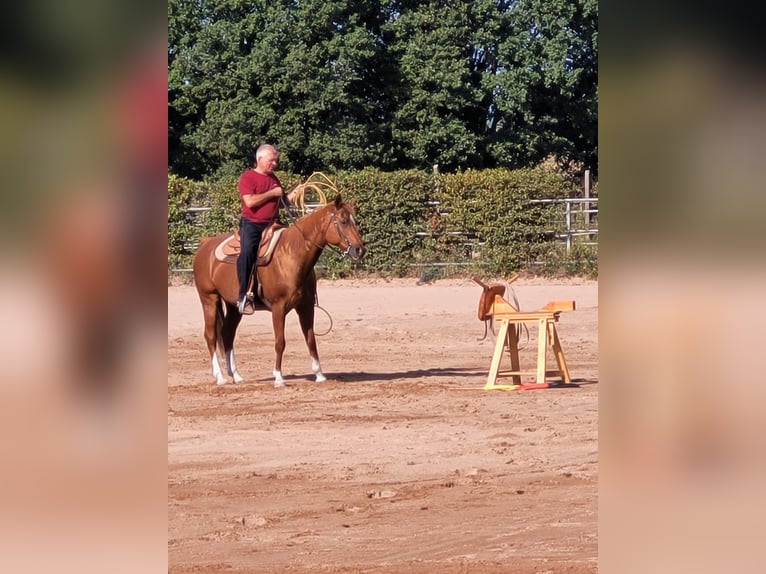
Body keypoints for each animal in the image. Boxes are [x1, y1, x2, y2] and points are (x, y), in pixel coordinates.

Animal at [192, 196, 366, 390]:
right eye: (343, 221)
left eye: (354, 220)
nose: (360, 250)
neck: (291, 256)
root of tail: (205, 243)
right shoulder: (278, 307)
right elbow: (280, 342)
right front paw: (278, 378)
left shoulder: (305, 307)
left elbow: (311, 339)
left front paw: (319, 375)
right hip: (209, 299)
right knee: (210, 335)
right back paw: (220, 377)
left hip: (234, 306)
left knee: (227, 334)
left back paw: (236, 376)